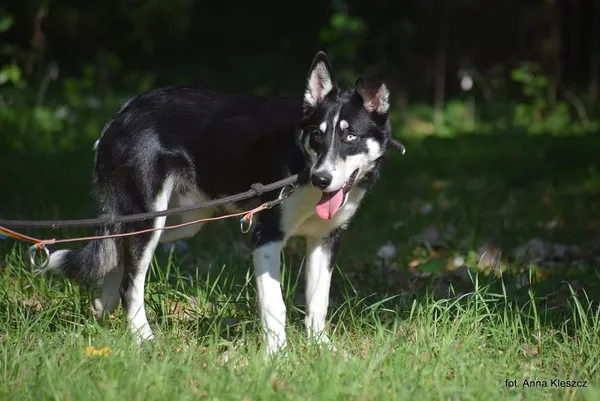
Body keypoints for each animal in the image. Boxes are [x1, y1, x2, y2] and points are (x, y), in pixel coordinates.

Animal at [38, 51, 394, 354]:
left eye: (350, 137)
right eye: (318, 136)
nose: (321, 178)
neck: (301, 162)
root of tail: (121, 113)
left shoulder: (325, 240)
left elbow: (318, 302)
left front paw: (321, 349)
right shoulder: (266, 238)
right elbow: (274, 304)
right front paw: (278, 355)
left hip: (180, 223)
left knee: (119, 256)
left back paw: (105, 305)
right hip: (150, 219)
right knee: (131, 284)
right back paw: (144, 339)